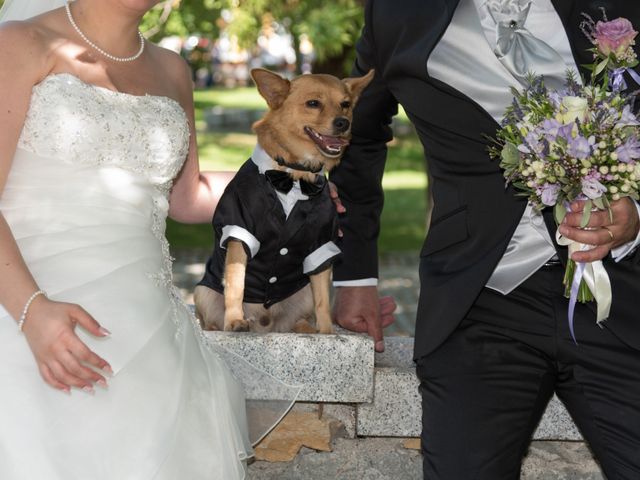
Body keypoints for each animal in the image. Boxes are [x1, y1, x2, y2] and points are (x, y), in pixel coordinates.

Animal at [195, 67, 376, 334]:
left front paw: (327, 332)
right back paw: (224, 325)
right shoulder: (239, 233)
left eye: (345, 104)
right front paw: (235, 320)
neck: (294, 176)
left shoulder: (321, 247)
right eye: (313, 103)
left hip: (303, 294)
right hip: (203, 292)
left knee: (298, 319)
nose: (344, 122)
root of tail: (264, 326)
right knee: (211, 318)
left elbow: (323, 301)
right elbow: (236, 284)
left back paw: (307, 329)